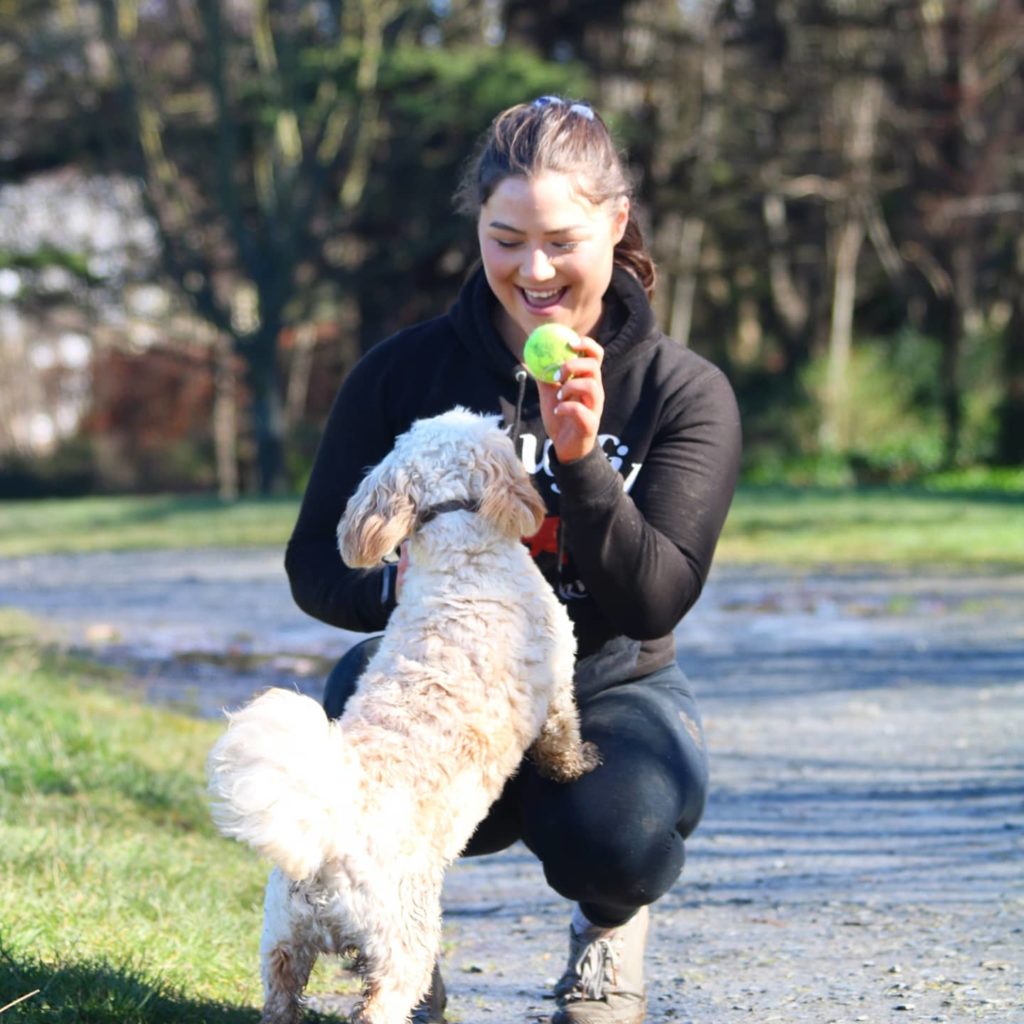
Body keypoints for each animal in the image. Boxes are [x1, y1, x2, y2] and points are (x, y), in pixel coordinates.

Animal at [205, 407, 598, 1024]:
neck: (460, 554)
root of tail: (330, 828)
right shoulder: (558, 683)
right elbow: (562, 735)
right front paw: (575, 764)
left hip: (283, 944)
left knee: (280, 998)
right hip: (402, 945)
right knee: (382, 1003)